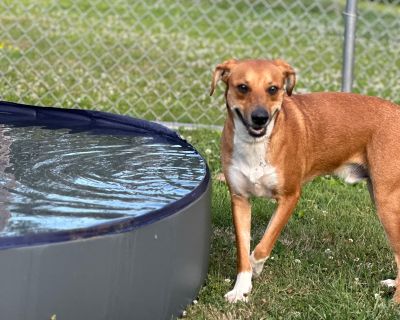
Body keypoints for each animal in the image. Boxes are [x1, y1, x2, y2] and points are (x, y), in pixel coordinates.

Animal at [209, 59, 400, 302]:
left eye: (273, 89)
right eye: (243, 87)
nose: (260, 118)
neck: (255, 146)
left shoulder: (290, 197)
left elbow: (262, 246)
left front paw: (256, 267)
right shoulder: (240, 200)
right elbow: (244, 251)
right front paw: (241, 289)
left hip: (387, 203)